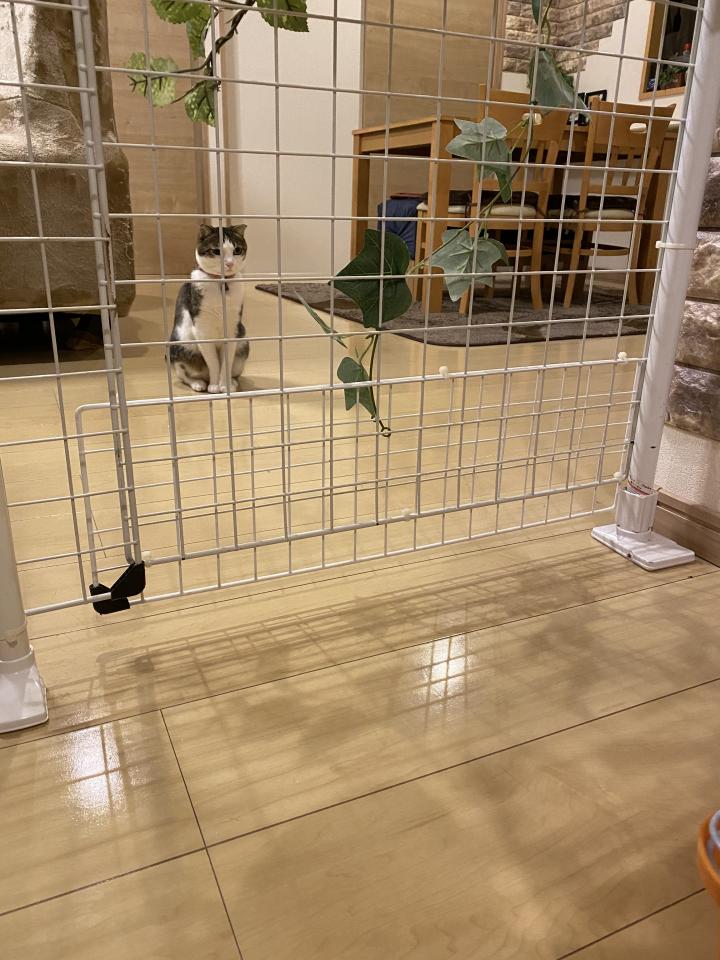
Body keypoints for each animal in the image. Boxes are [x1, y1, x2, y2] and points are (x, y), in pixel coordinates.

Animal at [169, 223, 249, 393]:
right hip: (179, 346)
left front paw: (224, 385)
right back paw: (198, 383)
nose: (230, 263)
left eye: (237, 250)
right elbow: (213, 363)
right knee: (182, 374)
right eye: (217, 251)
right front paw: (214, 386)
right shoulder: (202, 330)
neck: (221, 285)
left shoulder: (232, 329)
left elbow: (225, 363)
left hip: (243, 344)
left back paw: (232, 383)